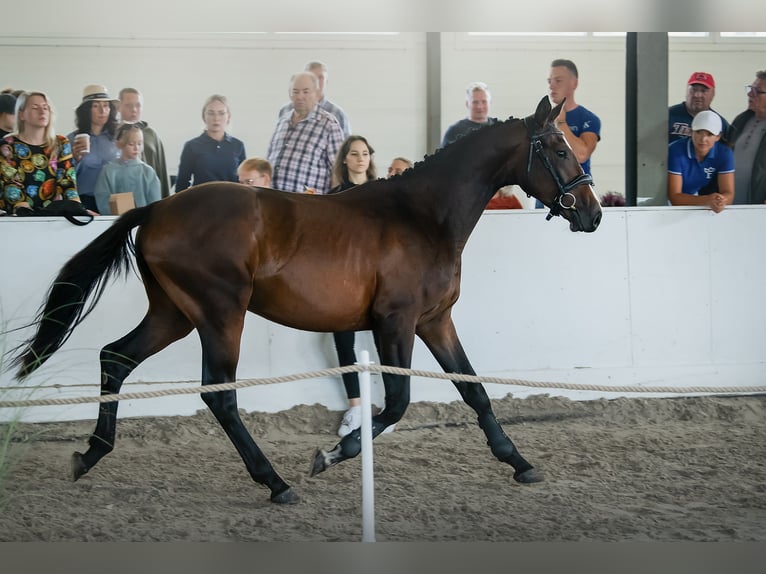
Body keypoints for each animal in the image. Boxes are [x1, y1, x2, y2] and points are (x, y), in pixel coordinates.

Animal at [9, 97, 604, 506]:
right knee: (219, 395)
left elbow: (475, 391)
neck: (422, 216)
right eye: (557, 149)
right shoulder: (396, 322)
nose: (593, 213)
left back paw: (89, 454)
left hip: (173, 314)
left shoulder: (436, 321)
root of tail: (156, 209)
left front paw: (519, 462)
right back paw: (275, 483)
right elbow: (396, 404)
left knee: (116, 357)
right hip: (219, 314)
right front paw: (331, 454)